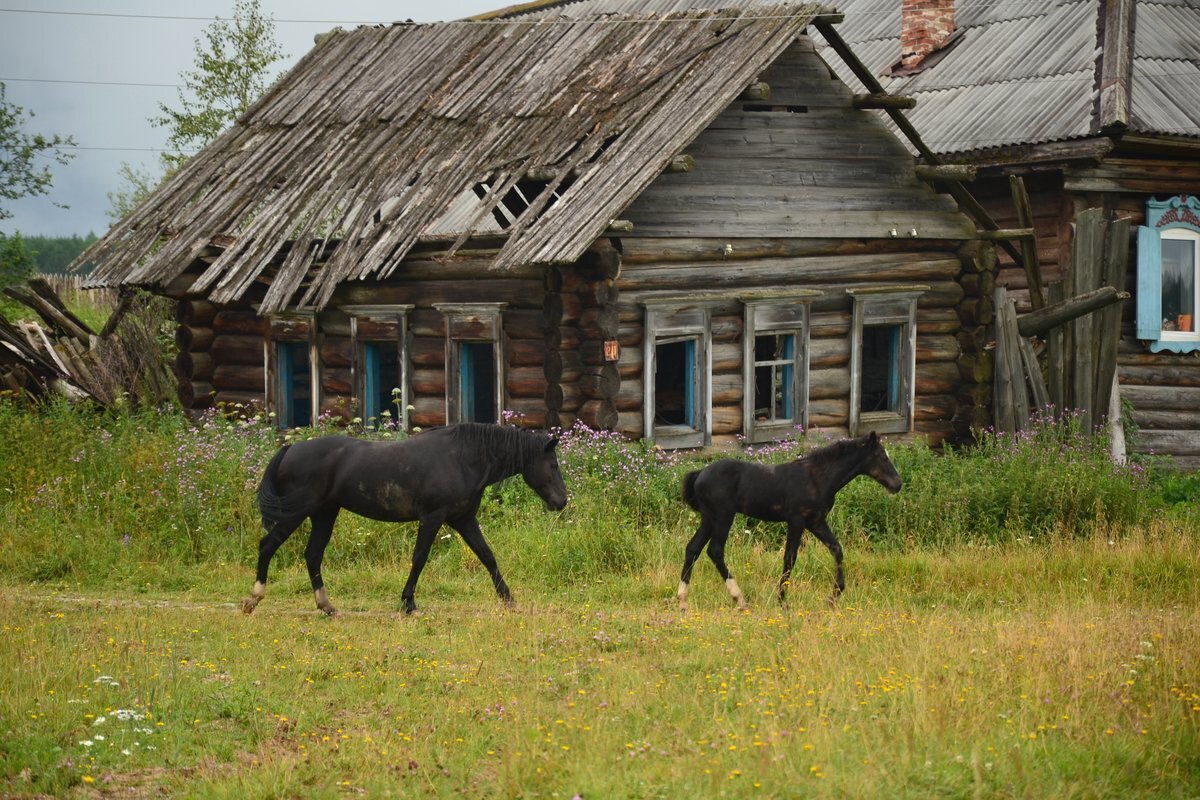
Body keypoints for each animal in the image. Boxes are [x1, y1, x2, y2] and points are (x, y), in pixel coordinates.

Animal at [241, 424, 568, 618]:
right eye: (552, 464)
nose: (562, 501)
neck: (462, 459)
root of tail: (289, 450)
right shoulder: (433, 518)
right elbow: (419, 558)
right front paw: (408, 603)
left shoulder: (463, 520)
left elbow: (487, 556)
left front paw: (509, 600)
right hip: (296, 513)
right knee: (268, 546)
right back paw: (253, 599)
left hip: (324, 513)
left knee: (312, 555)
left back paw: (327, 606)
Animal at [676, 431, 902, 614]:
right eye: (881, 457)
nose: (897, 484)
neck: (816, 478)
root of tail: (699, 474)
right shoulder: (796, 521)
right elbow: (789, 558)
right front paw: (783, 602)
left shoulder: (816, 522)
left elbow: (837, 549)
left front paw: (833, 597)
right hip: (723, 517)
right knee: (715, 550)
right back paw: (739, 599)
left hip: (709, 519)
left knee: (692, 549)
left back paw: (682, 602)